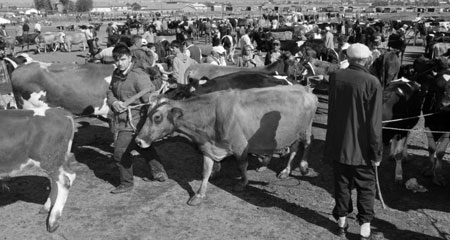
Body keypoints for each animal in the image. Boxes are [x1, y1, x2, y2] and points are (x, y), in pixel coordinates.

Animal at [135, 85, 318, 205]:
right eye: (147, 113)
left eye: (157, 117)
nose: (138, 140)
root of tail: (305, 88)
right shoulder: (208, 148)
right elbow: (205, 171)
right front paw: (199, 195)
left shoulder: (240, 146)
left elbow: (242, 165)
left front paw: (243, 183)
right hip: (293, 132)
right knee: (294, 148)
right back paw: (282, 169)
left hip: (305, 129)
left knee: (308, 143)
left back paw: (302, 166)